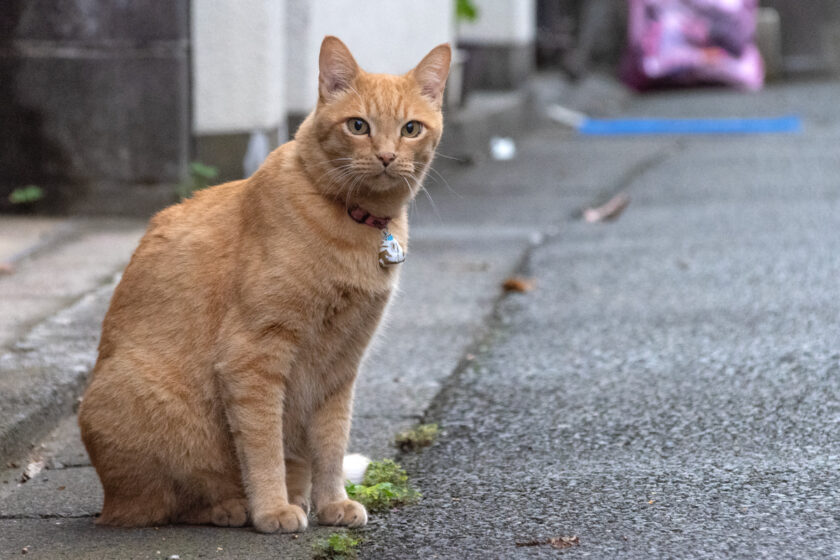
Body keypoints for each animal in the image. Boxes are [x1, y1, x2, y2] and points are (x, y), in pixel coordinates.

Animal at [75, 36, 450, 532]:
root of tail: (106, 500)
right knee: (161, 504)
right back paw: (231, 508)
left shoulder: (341, 364)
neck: (356, 222)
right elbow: (263, 444)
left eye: (410, 129)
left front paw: (332, 502)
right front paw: (272, 509)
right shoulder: (253, 356)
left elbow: (331, 443)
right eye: (358, 126)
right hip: (135, 406)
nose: (387, 156)